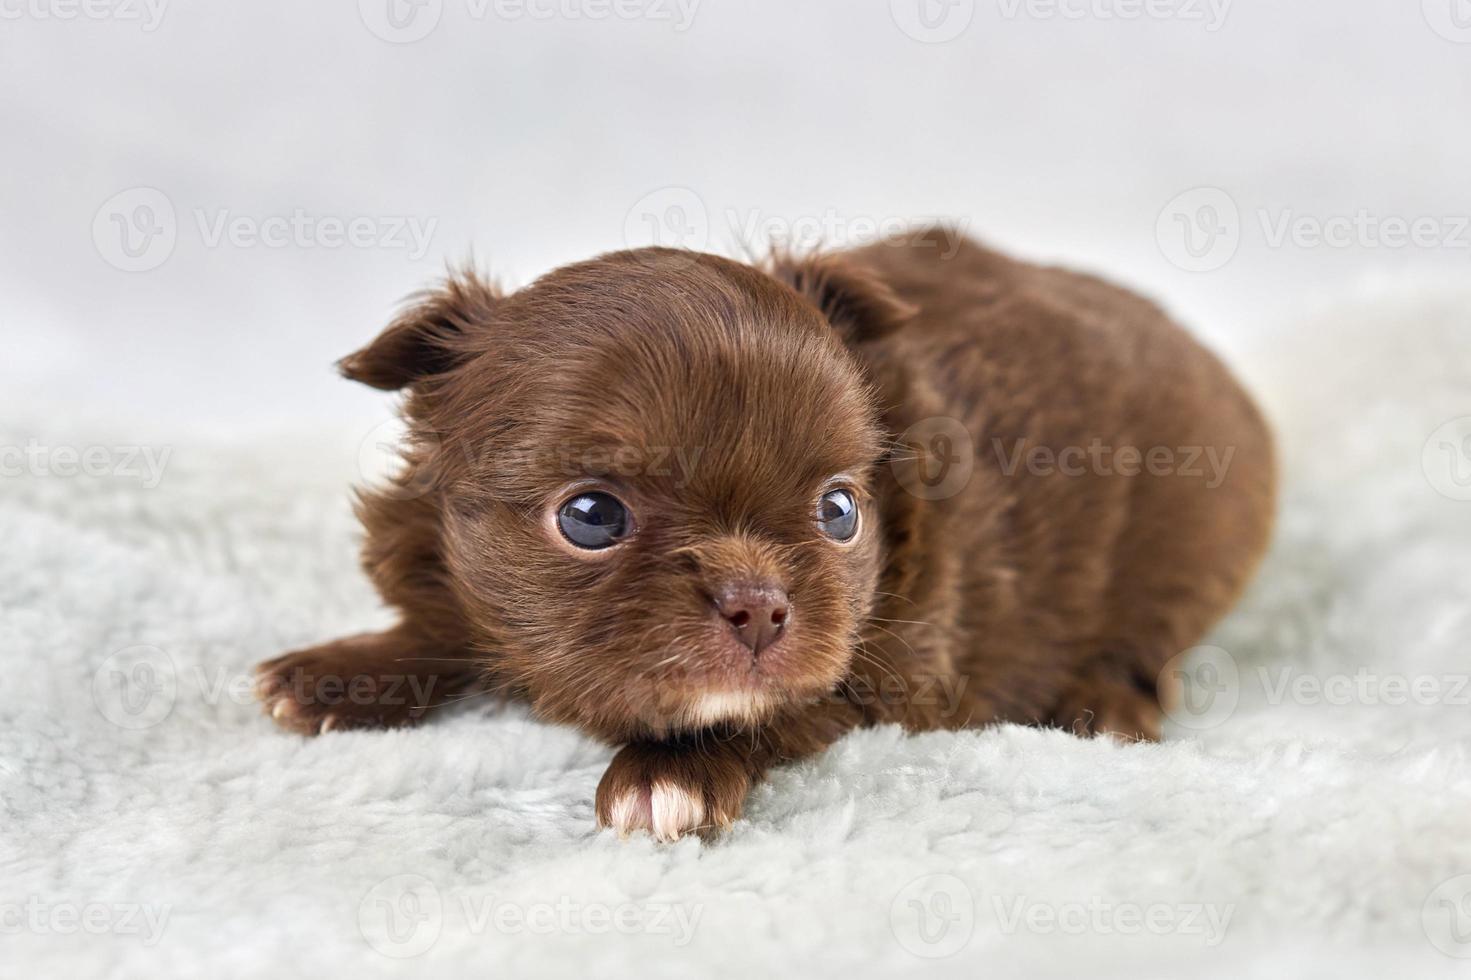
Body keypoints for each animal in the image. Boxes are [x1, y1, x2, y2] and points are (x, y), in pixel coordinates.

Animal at [255, 225, 1276, 835]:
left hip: (1188, 541)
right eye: (591, 516)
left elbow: (769, 709)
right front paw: (339, 672)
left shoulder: (890, 665)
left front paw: (667, 774)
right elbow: (447, 622)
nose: (758, 605)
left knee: (1143, 646)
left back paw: (1101, 710)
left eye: (839, 511)